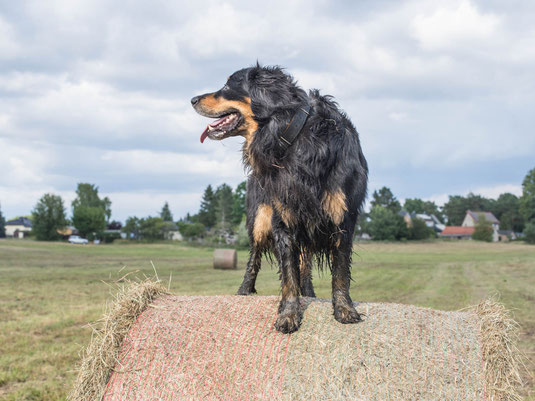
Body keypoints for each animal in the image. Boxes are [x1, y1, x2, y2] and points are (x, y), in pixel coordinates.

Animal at [192, 64, 368, 332]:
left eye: (228, 85)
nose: (192, 99)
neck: (294, 136)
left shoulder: (342, 218)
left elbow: (339, 272)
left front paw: (344, 309)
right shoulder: (284, 220)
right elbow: (288, 274)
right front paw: (288, 314)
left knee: (305, 266)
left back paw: (310, 294)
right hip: (259, 220)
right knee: (253, 259)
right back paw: (243, 292)